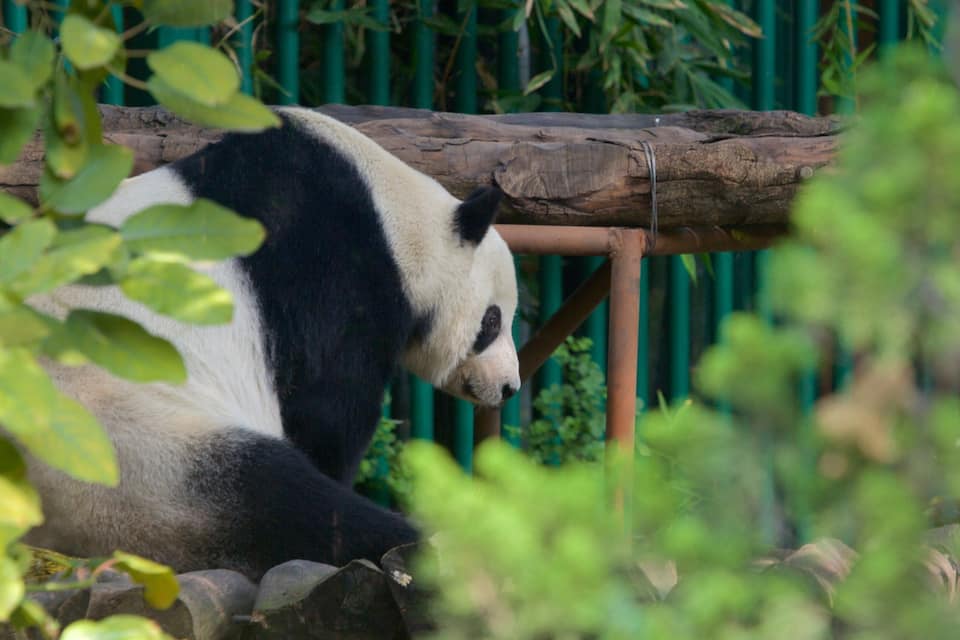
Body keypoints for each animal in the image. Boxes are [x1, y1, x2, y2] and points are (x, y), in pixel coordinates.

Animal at [23, 107, 521, 580]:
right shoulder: (334, 271)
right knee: (285, 500)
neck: (397, 222)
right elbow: (327, 411)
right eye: (492, 321)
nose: (509, 387)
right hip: (133, 451)